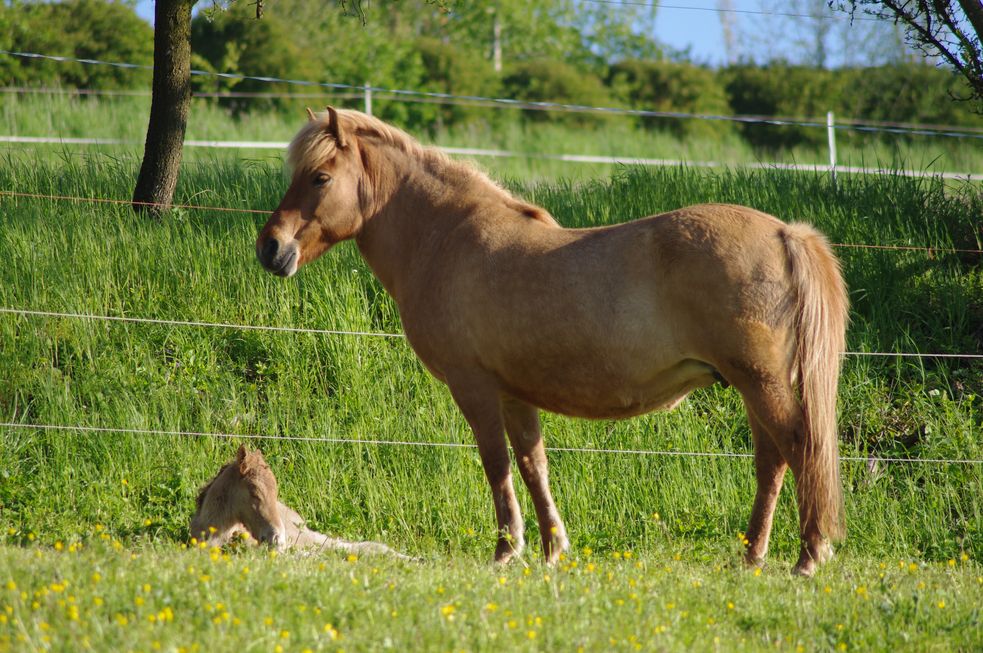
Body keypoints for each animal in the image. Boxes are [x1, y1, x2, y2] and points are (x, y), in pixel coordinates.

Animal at [258, 108, 848, 576]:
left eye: (319, 176)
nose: (270, 247)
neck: (446, 239)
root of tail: (785, 233)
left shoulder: (474, 388)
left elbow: (496, 463)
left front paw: (506, 550)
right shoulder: (514, 394)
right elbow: (532, 464)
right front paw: (551, 549)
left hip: (761, 384)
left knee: (799, 449)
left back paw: (808, 557)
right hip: (752, 386)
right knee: (772, 463)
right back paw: (752, 557)